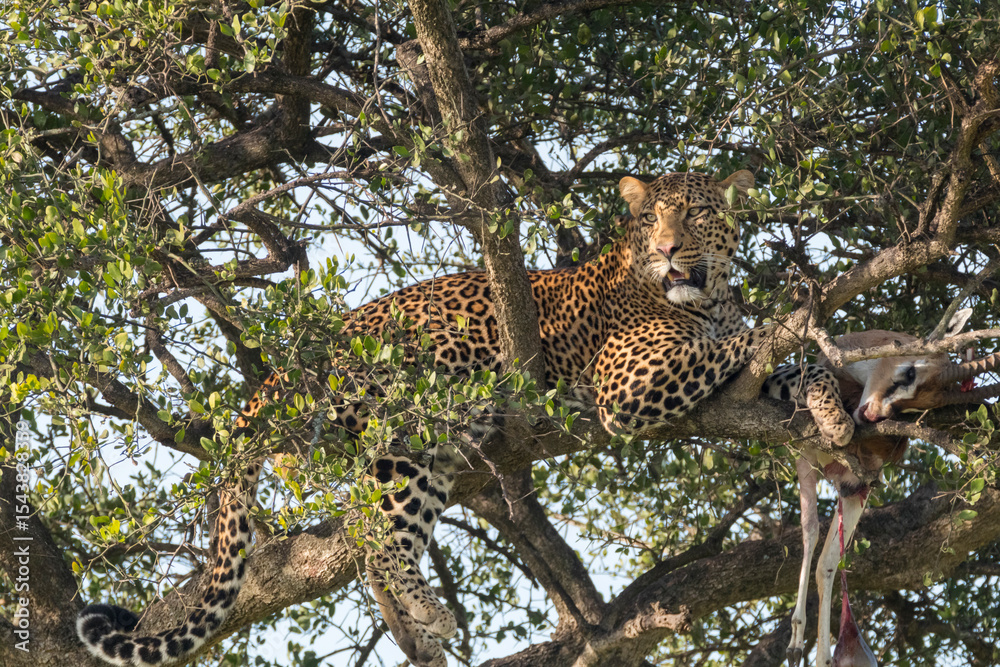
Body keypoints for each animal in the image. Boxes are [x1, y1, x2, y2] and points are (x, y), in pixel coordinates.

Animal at [76, 169, 855, 667]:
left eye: (691, 215)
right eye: (648, 218)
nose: (666, 249)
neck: (707, 293)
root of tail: (291, 367)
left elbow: (794, 365)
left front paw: (834, 412)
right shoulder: (627, 384)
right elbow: (743, 342)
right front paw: (788, 331)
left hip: (432, 455)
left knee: (369, 529)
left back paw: (416, 624)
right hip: (407, 427)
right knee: (378, 536)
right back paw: (431, 614)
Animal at [775, 309, 1000, 667]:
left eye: (919, 409)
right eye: (909, 372)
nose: (870, 416)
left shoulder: (861, 480)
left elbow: (826, 560)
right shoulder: (803, 451)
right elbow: (809, 531)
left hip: (855, 493)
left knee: (827, 565)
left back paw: (824, 654)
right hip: (814, 467)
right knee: (811, 534)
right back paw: (797, 644)